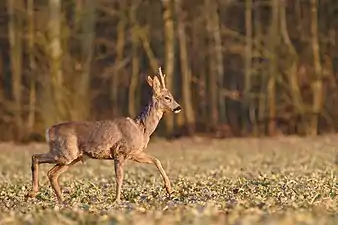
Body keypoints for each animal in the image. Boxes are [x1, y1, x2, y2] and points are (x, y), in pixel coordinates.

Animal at [26, 67, 182, 204]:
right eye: (167, 98)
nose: (178, 107)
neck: (141, 128)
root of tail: (49, 131)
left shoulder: (134, 153)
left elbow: (156, 160)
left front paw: (169, 189)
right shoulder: (120, 151)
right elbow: (119, 177)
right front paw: (117, 200)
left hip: (72, 158)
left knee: (52, 173)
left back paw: (61, 200)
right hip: (65, 153)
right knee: (36, 157)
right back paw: (32, 193)